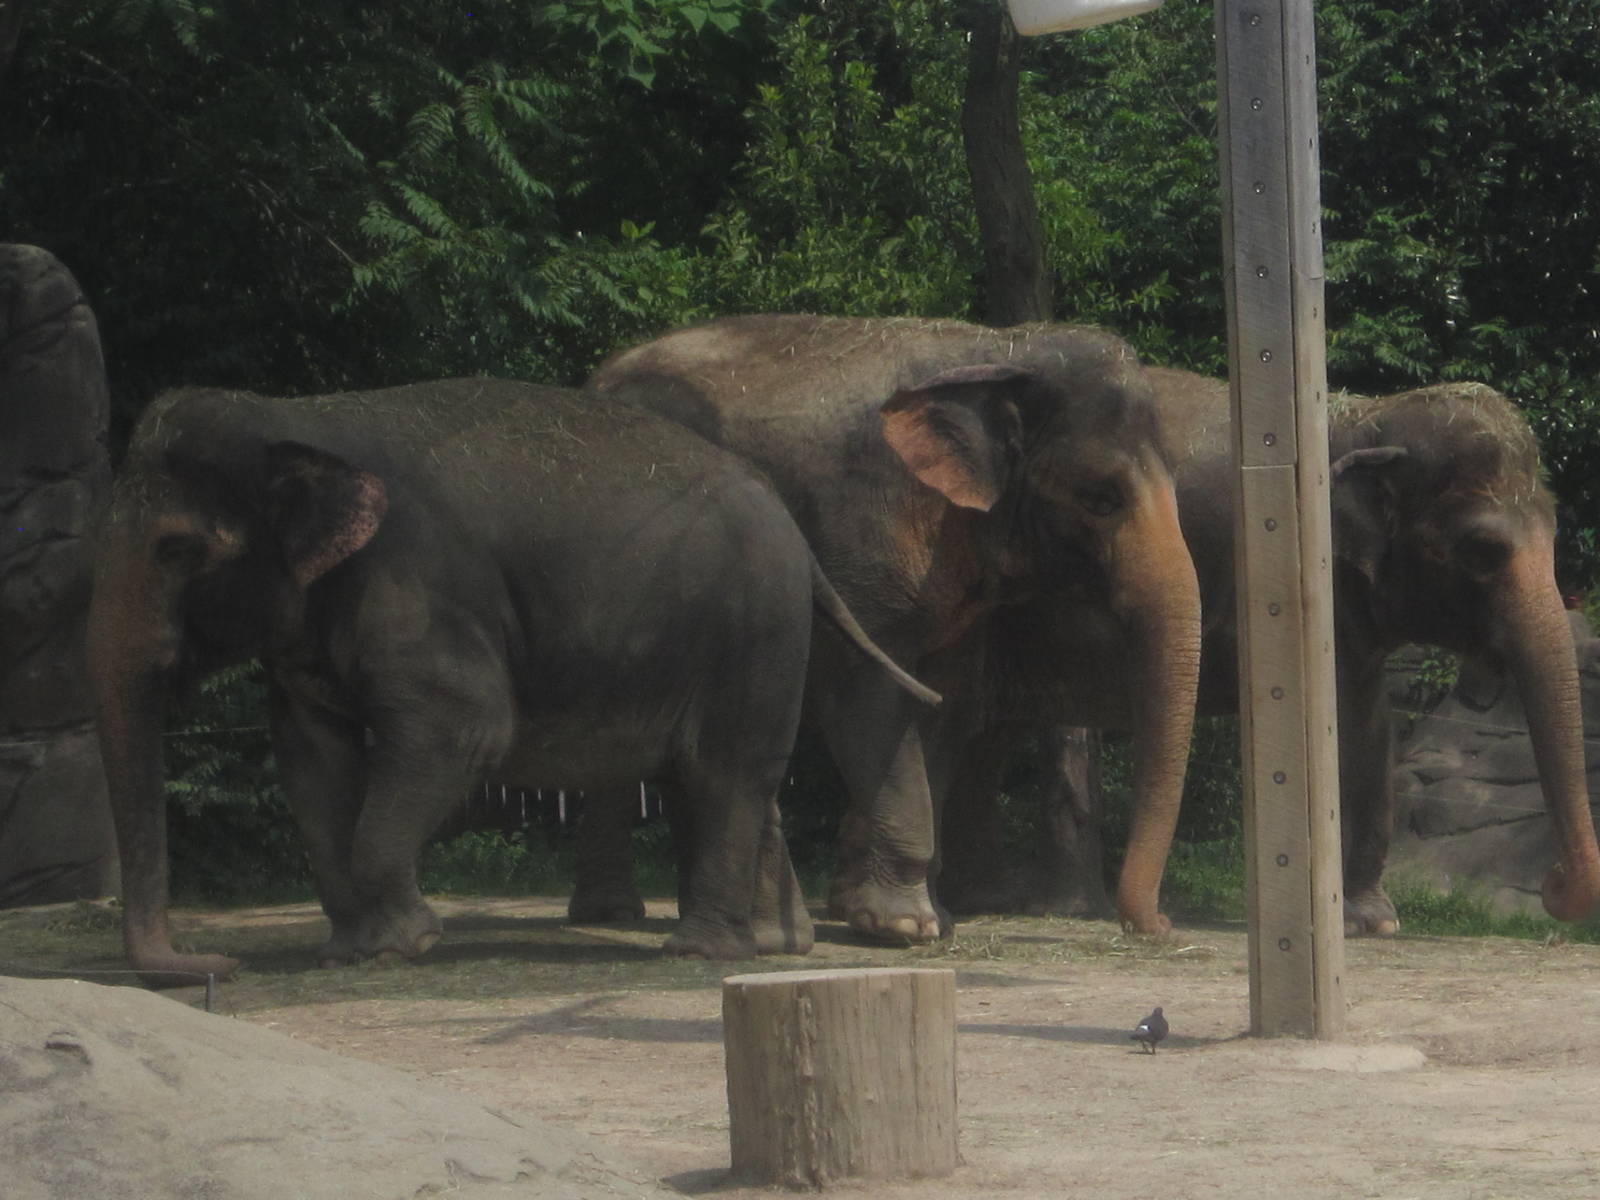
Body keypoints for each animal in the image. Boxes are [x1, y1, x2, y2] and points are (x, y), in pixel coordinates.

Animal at [86, 377, 940, 985]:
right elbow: (311, 760)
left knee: (724, 773)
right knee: (713, 778)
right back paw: (772, 946)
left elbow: (463, 730)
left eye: (175, 549)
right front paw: (345, 954)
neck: (298, 419)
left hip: (754, 630)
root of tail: (797, 537)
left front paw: (403, 947)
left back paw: (699, 952)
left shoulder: (422, 585)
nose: (216, 964)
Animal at [589, 314, 1203, 939]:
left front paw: (908, 917)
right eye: (1101, 499)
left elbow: (941, 705)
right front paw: (907, 927)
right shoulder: (861, 538)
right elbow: (872, 695)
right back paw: (624, 914)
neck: (997, 351)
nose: (1159, 925)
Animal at [939, 367, 1600, 933]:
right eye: (1482, 551)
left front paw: (1375, 921)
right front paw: (1352, 919)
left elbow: (1370, 728)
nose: (1550, 884)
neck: (1367, 414)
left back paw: (980, 898)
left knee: (981, 740)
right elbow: (1341, 728)